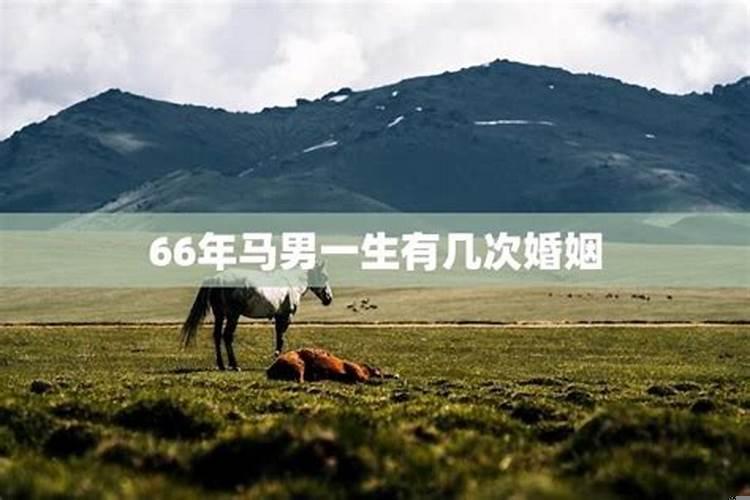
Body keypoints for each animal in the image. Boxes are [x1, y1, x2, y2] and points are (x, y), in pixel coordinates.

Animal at [180, 261, 333, 371]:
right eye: (324, 276)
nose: (329, 298)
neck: (291, 284)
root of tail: (217, 279)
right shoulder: (285, 317)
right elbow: (281, 339)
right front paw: (277, 359)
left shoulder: (278, 317)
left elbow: (278, 337)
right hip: (233, 316)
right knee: (227, 336)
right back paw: (235, 365)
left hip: (220, 315)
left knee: (217, 336)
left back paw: (222, 365)